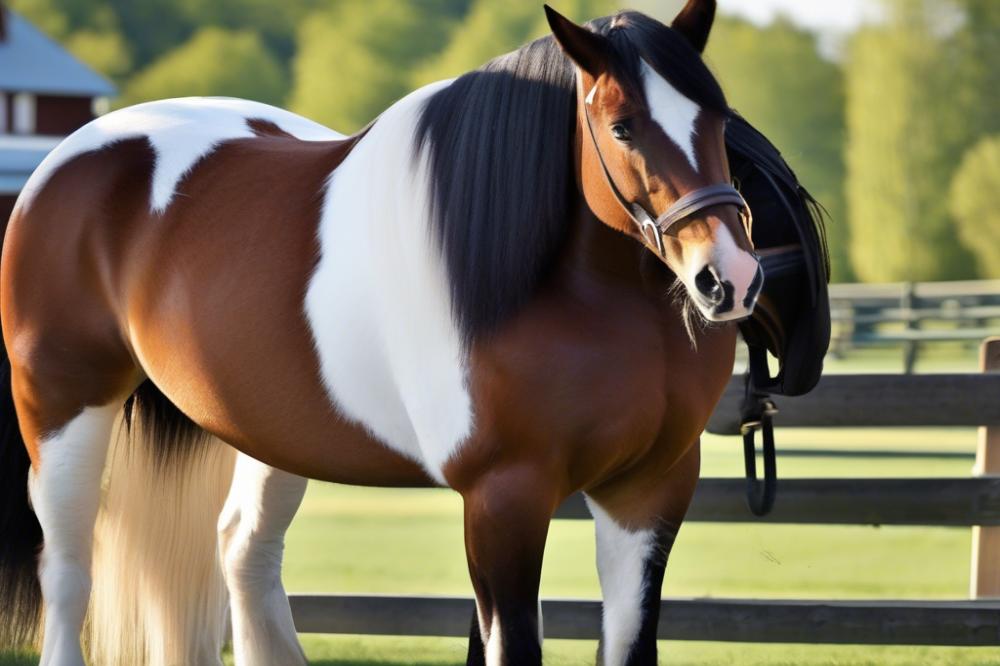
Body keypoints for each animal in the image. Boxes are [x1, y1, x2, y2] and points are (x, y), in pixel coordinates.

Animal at [1, 2, 764, 660]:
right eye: (625, 126)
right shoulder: (505, 497)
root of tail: (66, 163)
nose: (728, 278)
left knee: (244, 551)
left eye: (718, 116)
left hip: (269, 435)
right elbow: (512, 644)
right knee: (68, 569)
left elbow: (630, 642)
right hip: (63, 407)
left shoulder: (647, 490)